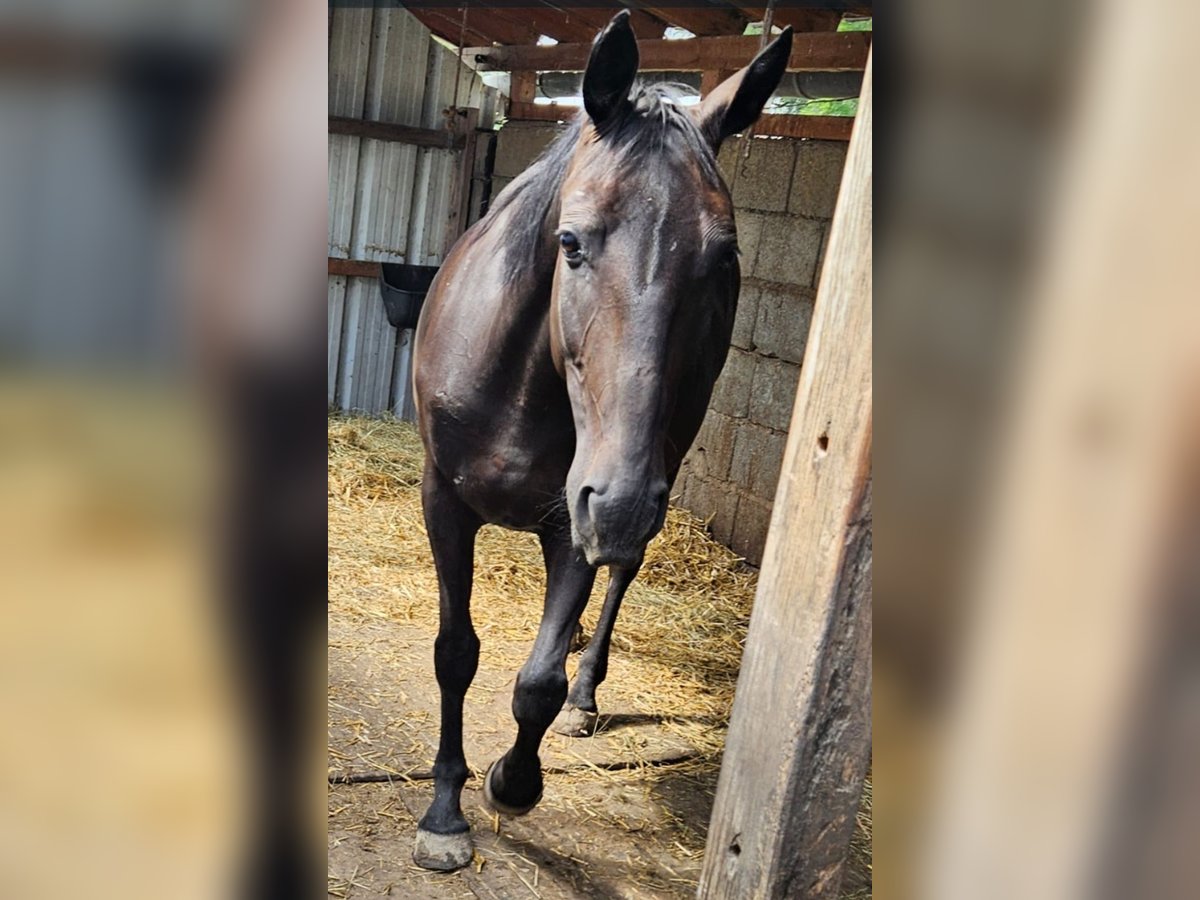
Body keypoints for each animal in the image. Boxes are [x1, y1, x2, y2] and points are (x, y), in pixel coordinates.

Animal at [410, 11, 793, 870]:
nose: (619, 506)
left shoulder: (572, 521)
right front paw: (444, 814)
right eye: (571, 243)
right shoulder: (444, 501)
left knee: (616, 587)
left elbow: (537, 683)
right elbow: (455, 653)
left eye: (723, 259)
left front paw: (513, 782)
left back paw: (588, 690)